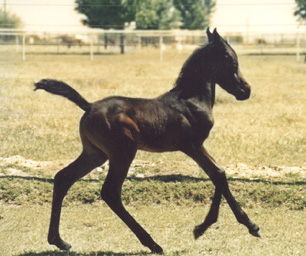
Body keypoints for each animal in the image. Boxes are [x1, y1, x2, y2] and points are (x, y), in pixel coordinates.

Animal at [34, 28, 260, 254]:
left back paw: (59, 241)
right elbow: (218, 174)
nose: (246, 90)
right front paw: (204, 228)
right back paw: (153, 243)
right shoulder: (192, 146)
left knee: (63, 178)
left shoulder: (194, 147)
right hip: (123, 153)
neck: (190, 101)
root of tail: (89, 106)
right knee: (110, 192)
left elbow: (218, 174)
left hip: (95, 154)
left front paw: (248, 226)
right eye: (230, 60)